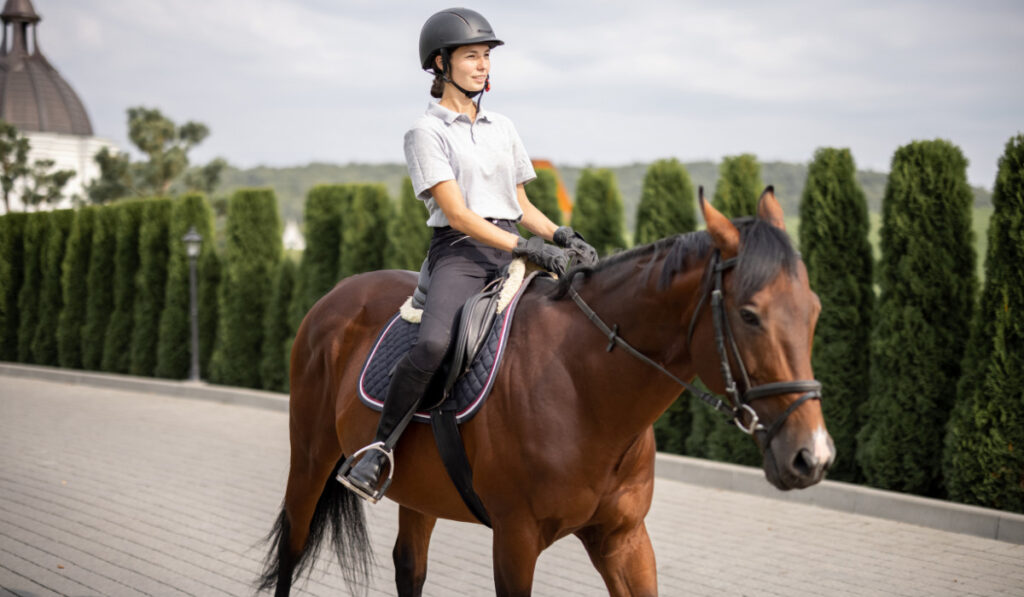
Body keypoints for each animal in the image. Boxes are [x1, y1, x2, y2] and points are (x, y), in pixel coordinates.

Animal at [256, 189, 831, 593]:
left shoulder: (624, 539)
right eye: (750, 315)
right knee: (293, 547)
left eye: (814, 309)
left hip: (418, 489)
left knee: (409, 568)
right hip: (311, 457)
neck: (584, 389)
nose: (813, 457)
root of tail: (334, 296)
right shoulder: (515, 541)